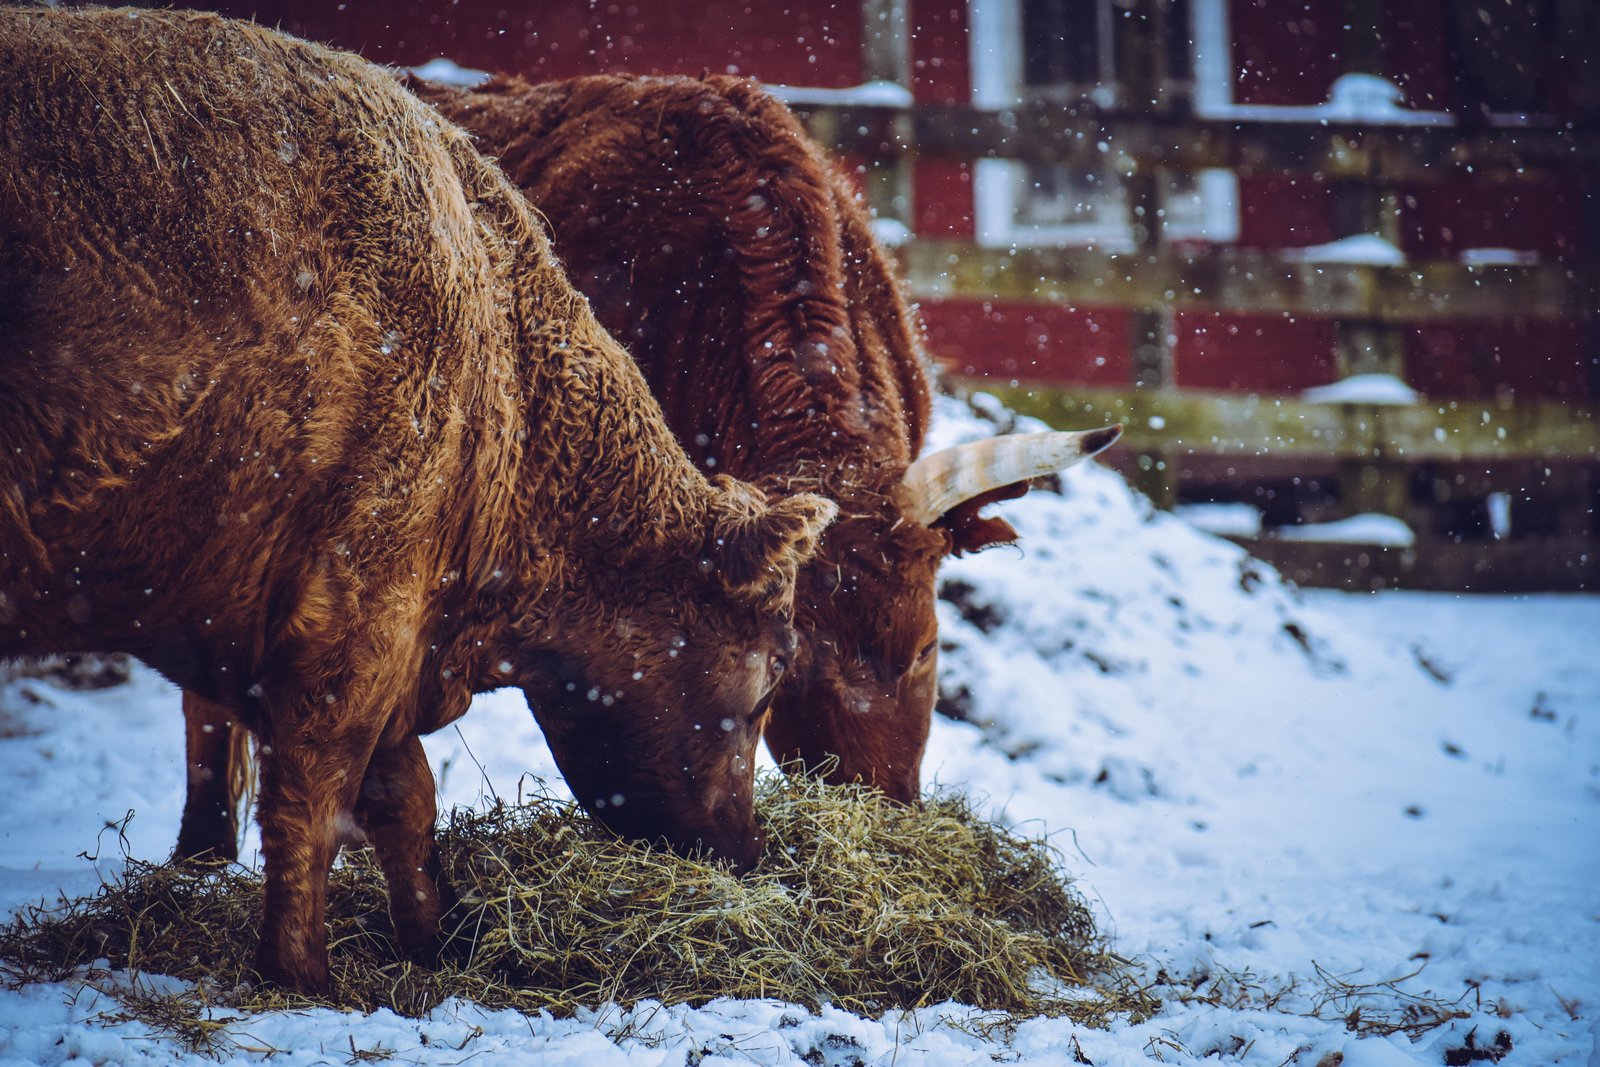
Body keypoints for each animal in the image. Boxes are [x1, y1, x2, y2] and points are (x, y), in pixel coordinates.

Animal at [0, 7, 836, 993]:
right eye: (773, 671)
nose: (748, 854)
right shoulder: (357, 610)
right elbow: (316, 799)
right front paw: (303, 975)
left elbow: (406, 797)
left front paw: (437, 941)